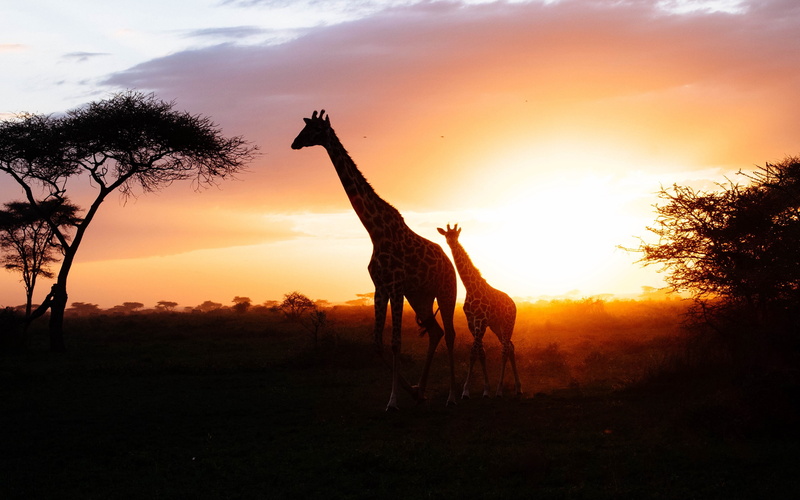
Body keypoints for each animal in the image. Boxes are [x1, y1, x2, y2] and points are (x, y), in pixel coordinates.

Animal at [291, 110, 458, 411]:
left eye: (315, 130)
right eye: (305, 128)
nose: (294, 143)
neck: (375, 231)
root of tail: (449, 263)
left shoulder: (395, 286)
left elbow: (395, 342)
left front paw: (393, 401)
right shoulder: (380, 288)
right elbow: (378, 342)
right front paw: (410, 392)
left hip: (445, 291)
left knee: (450, 334)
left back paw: (452, 396)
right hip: (421, 296)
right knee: (436, 332)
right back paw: (421, 391)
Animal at [437, 224, 522, 398]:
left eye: (456, 235)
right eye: (446, 235)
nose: (451, 242)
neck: (470, 288)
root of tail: (513, 304)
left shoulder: (481, 321)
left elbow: (473, 352)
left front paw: (466, 391)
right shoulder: (472, 322)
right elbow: (481, 352)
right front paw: (485, 389)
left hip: (508, 324)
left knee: (505, 350)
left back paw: (500, 390)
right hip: (497, 326)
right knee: (510, 347)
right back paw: (518, 388)